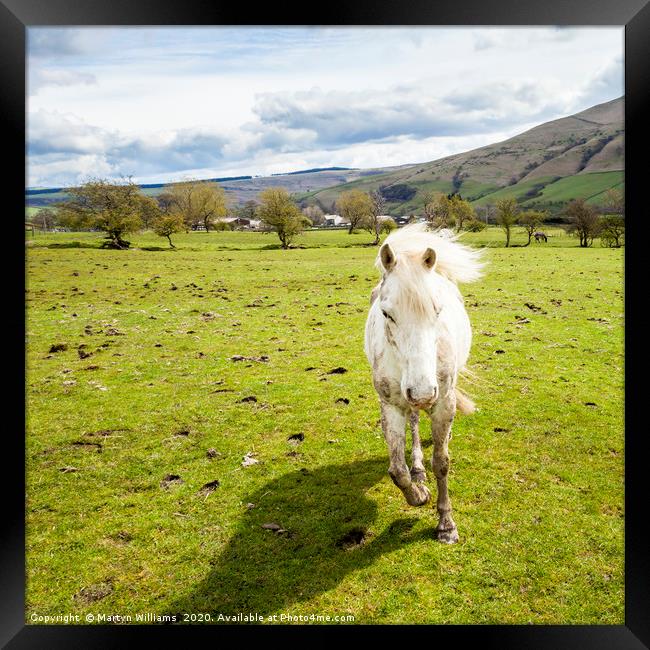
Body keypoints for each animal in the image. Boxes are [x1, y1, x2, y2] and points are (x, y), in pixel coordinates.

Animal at [364, 223, 480, 540]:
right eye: (386, 313)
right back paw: (417, 469)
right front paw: (419, 494)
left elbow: (442, 463)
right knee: (414, 423)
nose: (423, 392)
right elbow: (396, 470)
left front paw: (446, 524)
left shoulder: (444, 401)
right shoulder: (391, 404)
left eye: (438, 311)